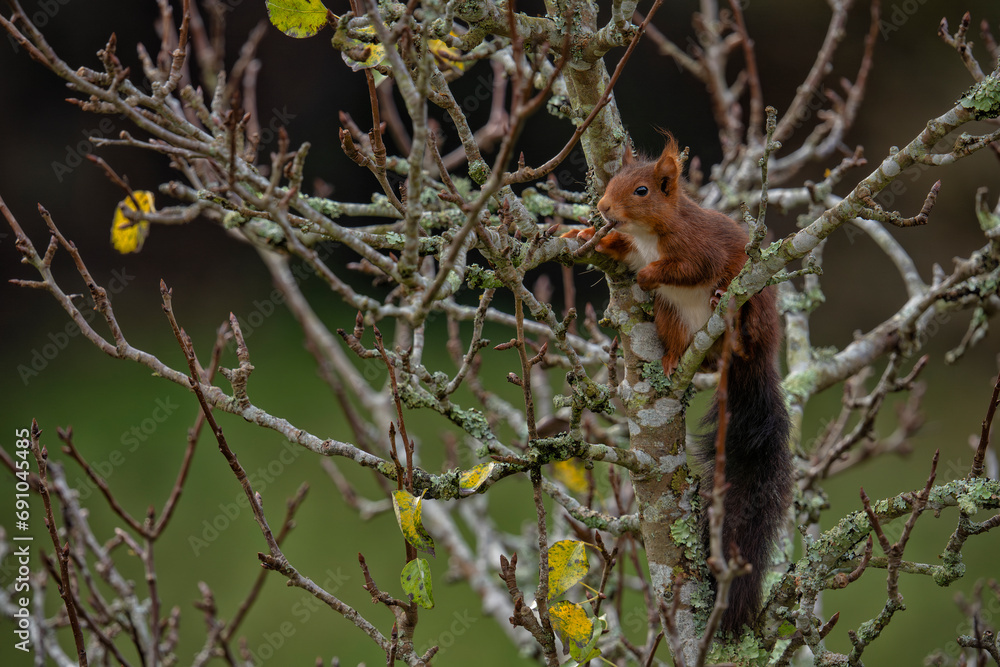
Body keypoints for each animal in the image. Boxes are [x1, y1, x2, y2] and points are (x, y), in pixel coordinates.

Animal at [568, 134, 792, 632]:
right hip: (671, 318)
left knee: (741, 321)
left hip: (754, 305)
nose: (603, 207)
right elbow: (616, 250)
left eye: (642, 191)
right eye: (611, 180)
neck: (649, 236)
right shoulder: (630, 248)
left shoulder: (697, 247)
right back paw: (672, 360)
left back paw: (736, 330)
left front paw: (650, 274)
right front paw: (581, 235)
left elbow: (687, 268)